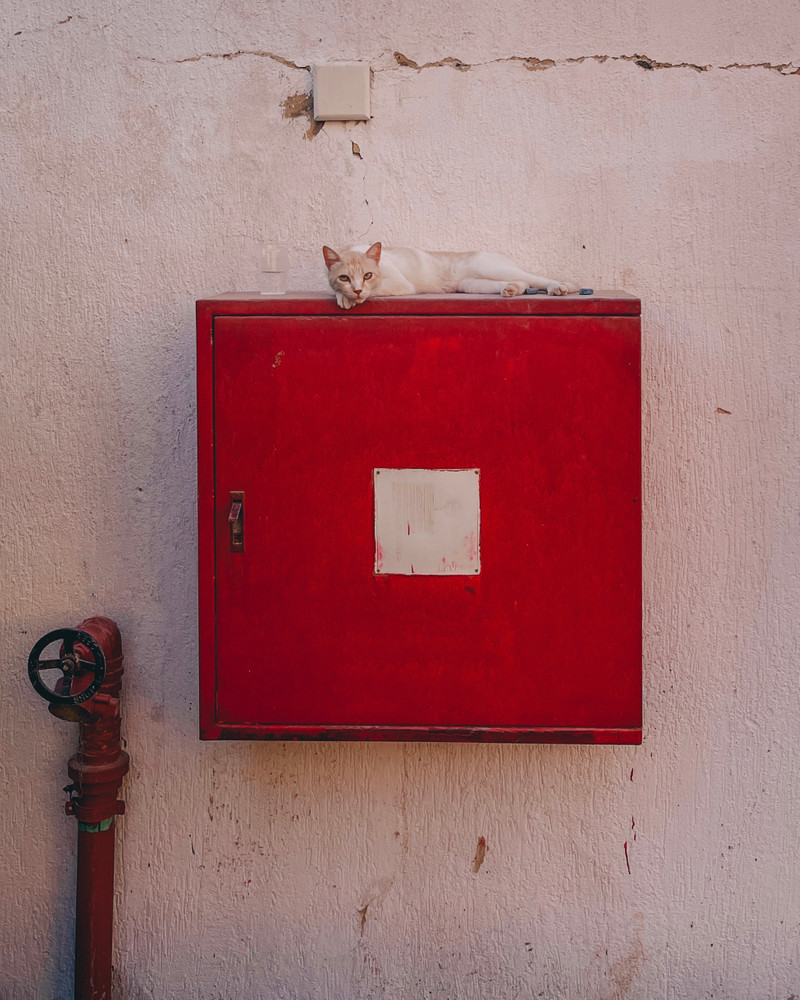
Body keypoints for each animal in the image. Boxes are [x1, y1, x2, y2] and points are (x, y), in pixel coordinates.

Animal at [322, 241, 580, 308]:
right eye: (344, 278)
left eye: (367, 276)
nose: (357, 289)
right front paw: (344, 295)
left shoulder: (400, 284)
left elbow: (373, 292)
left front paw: (348, 298)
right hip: (471, 284)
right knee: (522, 281)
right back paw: (512, 289)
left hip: (489, 266)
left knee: (534, 277)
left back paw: (563, 287)